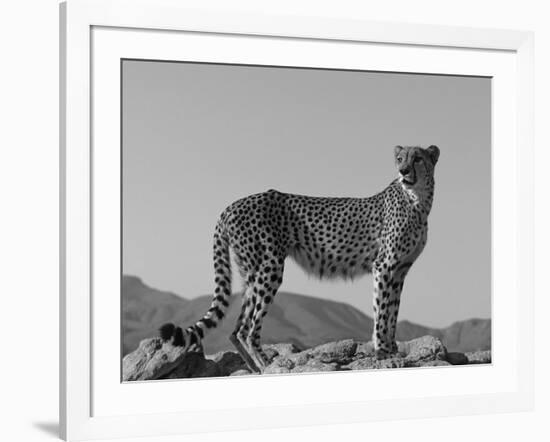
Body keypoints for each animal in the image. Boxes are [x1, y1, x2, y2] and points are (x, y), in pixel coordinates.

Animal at [160, 145, 440, 372]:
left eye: (418, 158)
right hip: (269, 267)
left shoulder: (400, 270)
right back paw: (267, 364)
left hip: (251, 272)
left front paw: (391, 348)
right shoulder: (384, 266)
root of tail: (232, 205)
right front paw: (382, 350)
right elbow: (382, 311)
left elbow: (392, 310)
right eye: (400, 158)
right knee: (249, 329)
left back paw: (255, 368)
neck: (417, 201)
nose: (403, 171)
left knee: (237, 329)